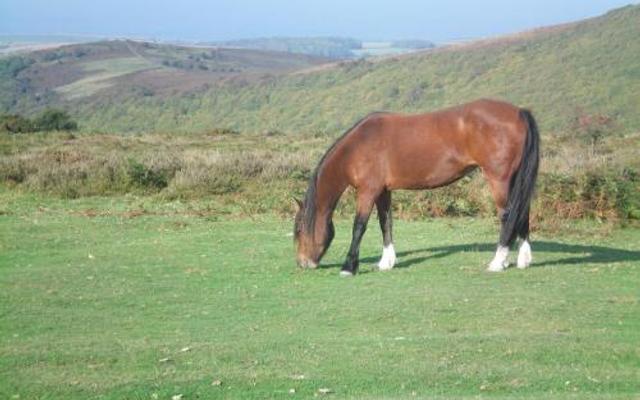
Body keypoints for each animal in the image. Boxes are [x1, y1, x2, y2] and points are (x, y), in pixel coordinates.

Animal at [296, 98, 540, 276]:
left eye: (298, 229)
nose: (302, 263)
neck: (358, 145)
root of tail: (519, 112)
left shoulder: (367, 191)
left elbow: (359, 226)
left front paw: (349, 267)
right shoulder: (383, 191)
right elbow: (386, 223)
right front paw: (386, 262)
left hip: (498, 179)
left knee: (507, 216)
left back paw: (497, 262)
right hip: (515, 179)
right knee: (522, 212)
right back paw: (523, 260)